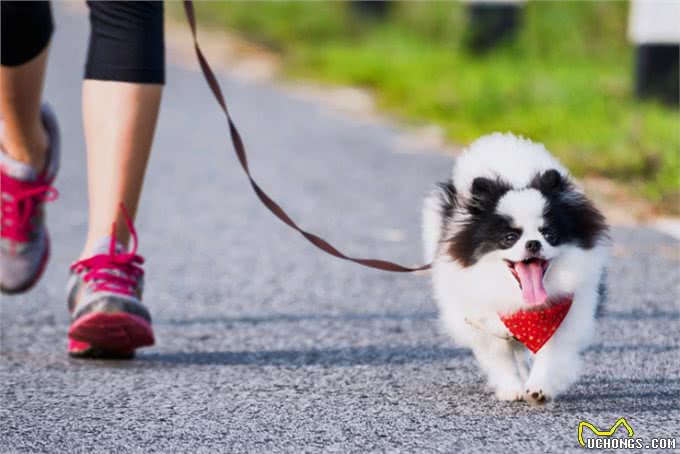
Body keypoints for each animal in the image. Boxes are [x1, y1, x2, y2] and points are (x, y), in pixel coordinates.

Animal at [422, 132, 608, 404]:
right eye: (509, 238)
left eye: (549, 234)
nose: (533, 243)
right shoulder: (485, 320)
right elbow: (501, 358)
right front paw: (512, 389)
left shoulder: (567, 315)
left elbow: (551, 354)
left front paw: (539, 388)